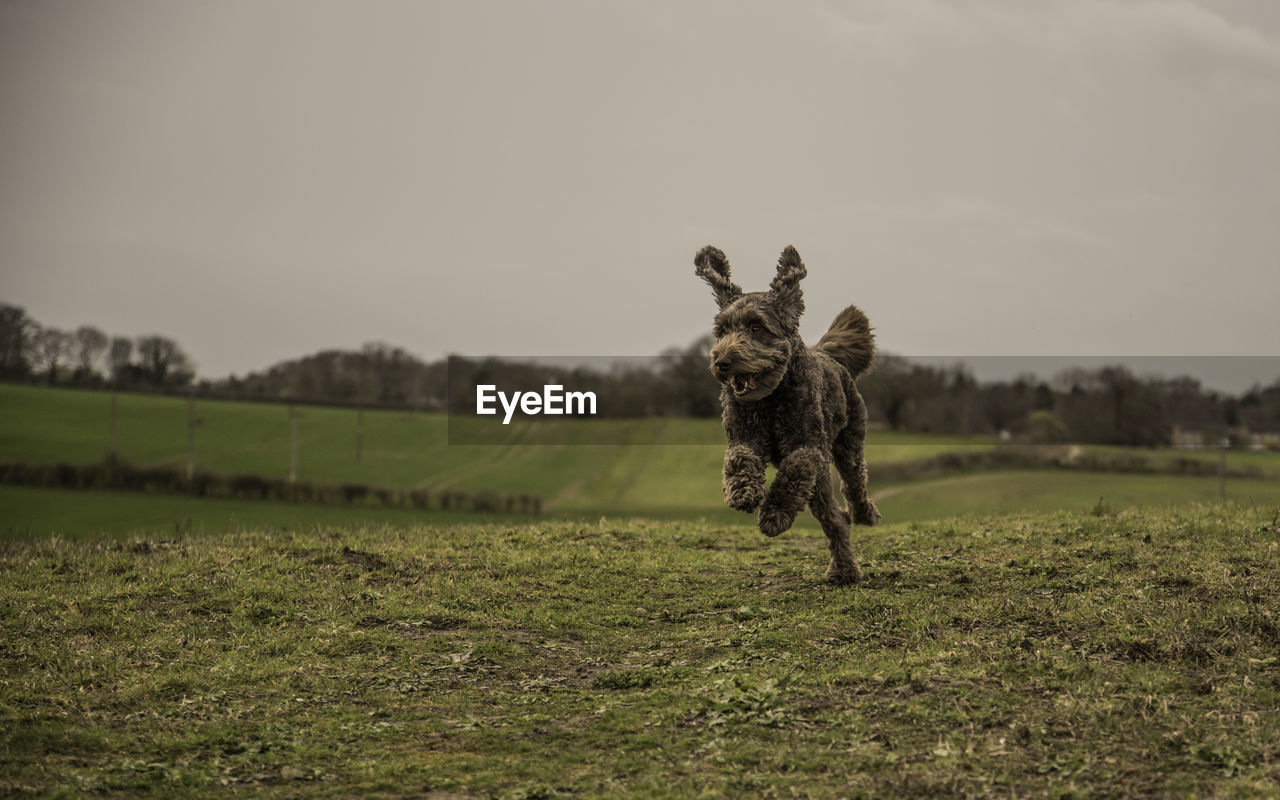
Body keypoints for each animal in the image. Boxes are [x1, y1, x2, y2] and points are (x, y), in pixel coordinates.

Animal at [691, 240, 880, 583]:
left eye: (756, 327)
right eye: (722, 330)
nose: (722, 362)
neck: (769, 401)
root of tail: (829, 355)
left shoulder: (809, 447)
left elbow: (793, 470)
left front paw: (774, 514)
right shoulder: (744, 436)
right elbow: (739, 459)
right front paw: (742, 492)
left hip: (848, 444)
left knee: (854, 485)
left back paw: (864, 516)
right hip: (820, 483)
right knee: (835, 520)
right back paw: (843, 568)